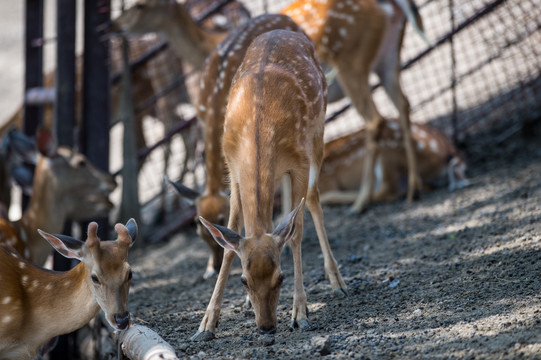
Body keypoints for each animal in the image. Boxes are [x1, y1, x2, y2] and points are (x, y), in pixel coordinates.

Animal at [190, 29, 346, 342]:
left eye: (281, 277)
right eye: (243, 280)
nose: (266, 327)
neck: (259, 124)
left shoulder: (299, 160)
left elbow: (296, 233)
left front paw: (300, 313)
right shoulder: (233, 170)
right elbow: (231, 240)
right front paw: (207, 323)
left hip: (318, 132)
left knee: (313, 199)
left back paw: (336, 279)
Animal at [282, 0, 430, 212]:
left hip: (351, 63)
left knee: (375, 119)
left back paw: (360, 202)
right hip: (388, 58)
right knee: (403, 104)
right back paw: (414, 189)